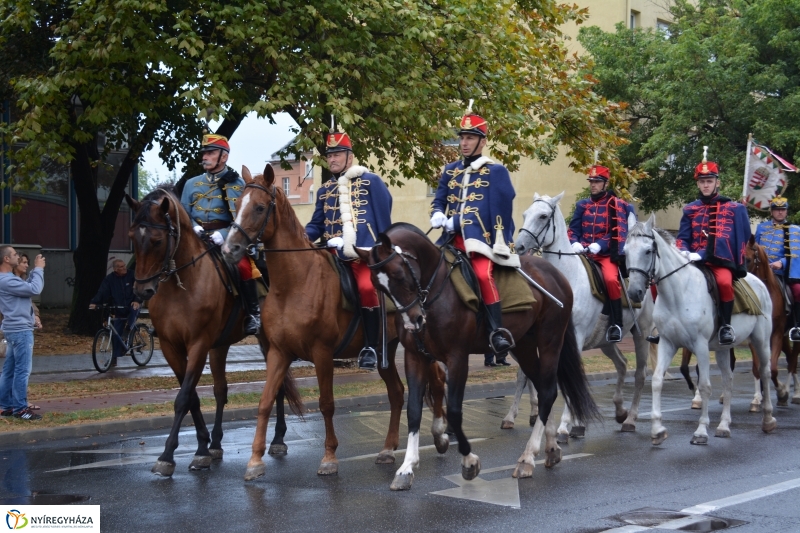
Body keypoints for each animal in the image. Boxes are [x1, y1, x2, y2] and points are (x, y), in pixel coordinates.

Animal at [126, 188, 302, 478]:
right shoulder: (171, 347)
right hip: (220, 346)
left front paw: (168, 456)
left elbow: (183, 398)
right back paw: (217, 444)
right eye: (132, 238)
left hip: (267, 341)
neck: (182, 285)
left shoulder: (198, 343)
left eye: (157, 240)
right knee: (221, 389)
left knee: (276, 386)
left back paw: (277, 439)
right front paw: (202, 448)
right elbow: (193, 398)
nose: (142, 291)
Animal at [219, 164, 446, 480]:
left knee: (436, 380)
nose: (230, 249)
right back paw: (388, 449)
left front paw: (329, 457)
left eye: (260, 207)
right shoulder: (278, 352)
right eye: (237, 203)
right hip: (385, 350)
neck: (293, 284)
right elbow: (265, 402)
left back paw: (440, 434)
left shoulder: (322, 353)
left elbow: (326, 404)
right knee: (397, 393)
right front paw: (254, 461)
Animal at [356, 222, 600, 488]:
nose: (414, 322)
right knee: (544, 387)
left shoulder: (457, 357)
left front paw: (469, 461)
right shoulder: (415, 357)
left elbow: (454, 410)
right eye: (378, 286)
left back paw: (527, 457)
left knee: (547, 391)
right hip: (524, 346)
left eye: (399, 275)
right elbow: (413, 411)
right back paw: (551, 448)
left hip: (550, 340)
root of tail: (555, 273)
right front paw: (406, 468)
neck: (436, 290)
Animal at [510, 190, 652, 436]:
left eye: (543, 216)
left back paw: (630, 419)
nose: (519, 246)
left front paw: (564, 426)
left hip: (640, 334)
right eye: (525, 213)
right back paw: (618, 411)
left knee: (640, 374)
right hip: (605, 341)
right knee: (622, 364)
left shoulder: (573, 338)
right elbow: (528, 375)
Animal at [624, 214, 776, 442]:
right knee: (728, 380)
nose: (634, 292)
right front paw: (657, 429)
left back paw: (767, 418)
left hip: (761, 341)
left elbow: (704, 386)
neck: (678, 293)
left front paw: (701, 430)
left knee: (765, 373)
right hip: (723, 348)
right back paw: (723, 425)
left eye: (648, 250)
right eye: (625, 252)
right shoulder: (667, 343)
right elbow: (657, 380)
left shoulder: (701, 346)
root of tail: (758, 281)